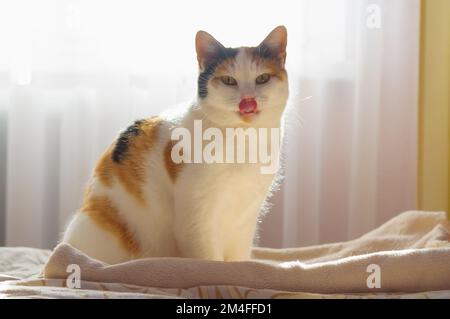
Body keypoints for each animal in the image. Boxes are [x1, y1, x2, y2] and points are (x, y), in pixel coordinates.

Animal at [62, 25, 288, 264]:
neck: (244, 141)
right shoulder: (196, 221)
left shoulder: (245, 220)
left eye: (263, 78)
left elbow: (238, 260)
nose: (248, 100)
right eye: (228, 80)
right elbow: (211, 260)